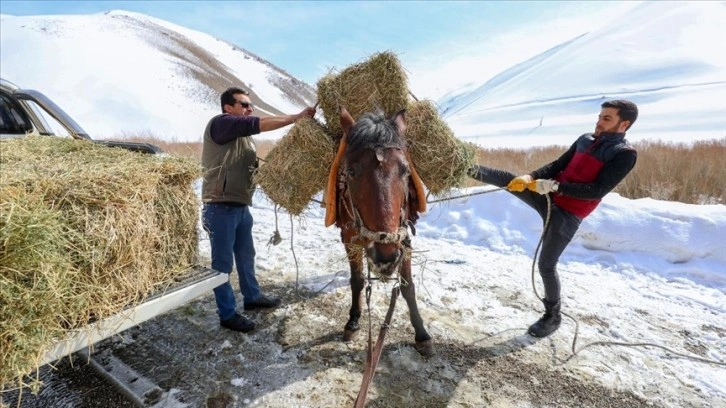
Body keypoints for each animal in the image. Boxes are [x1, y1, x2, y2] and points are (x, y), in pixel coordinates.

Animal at [322, 107, 432, 356]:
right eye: (351, 171)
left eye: (405, 171)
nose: (386, 257)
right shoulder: (350, 239)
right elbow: (357, 280)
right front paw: (353, 321)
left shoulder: (403, 239)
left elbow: (407, 287)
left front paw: (421, 334)